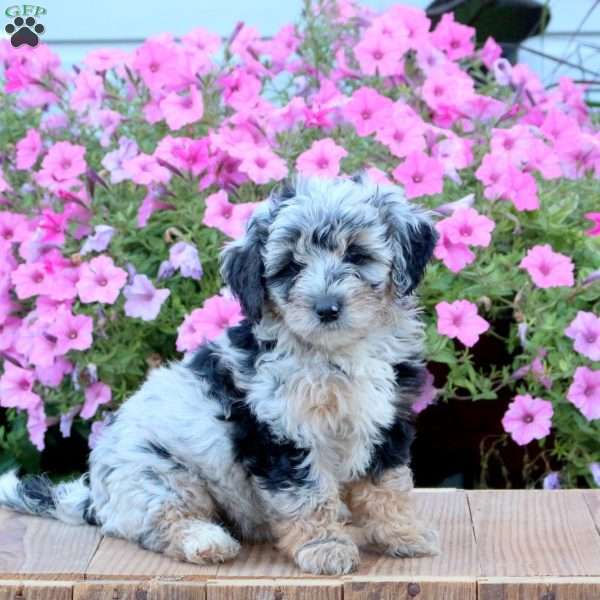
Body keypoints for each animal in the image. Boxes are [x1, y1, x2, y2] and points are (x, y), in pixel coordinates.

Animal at [0, 175, 440, 576]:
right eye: (290, 267)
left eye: (357, 254)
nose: (327, 308)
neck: (337, 354)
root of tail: (96, 494)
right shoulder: (283, 431)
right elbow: (308, 494)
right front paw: (325, 547)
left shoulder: (388, 420)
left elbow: (387, 486)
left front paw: (404, 534)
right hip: (155, 474)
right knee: (161, 522)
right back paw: (206, 541)